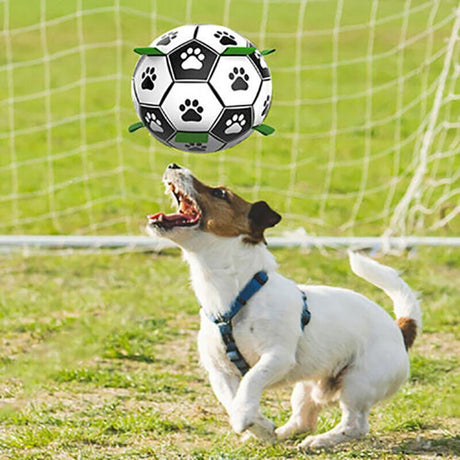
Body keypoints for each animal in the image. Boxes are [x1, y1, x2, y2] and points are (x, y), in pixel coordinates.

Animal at [147, 164, 420, 450]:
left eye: (220, 193)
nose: (174, 165)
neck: (237, 295)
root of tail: (400, 330)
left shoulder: (276, 356)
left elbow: (251, 382)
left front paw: (247, 419)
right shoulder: (219, 371)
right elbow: (233, 400)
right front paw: (259, 425)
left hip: (358, 383)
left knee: (355, 425)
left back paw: (320, 441)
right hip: (307, 388)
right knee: (304, 420)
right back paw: (281, 435)